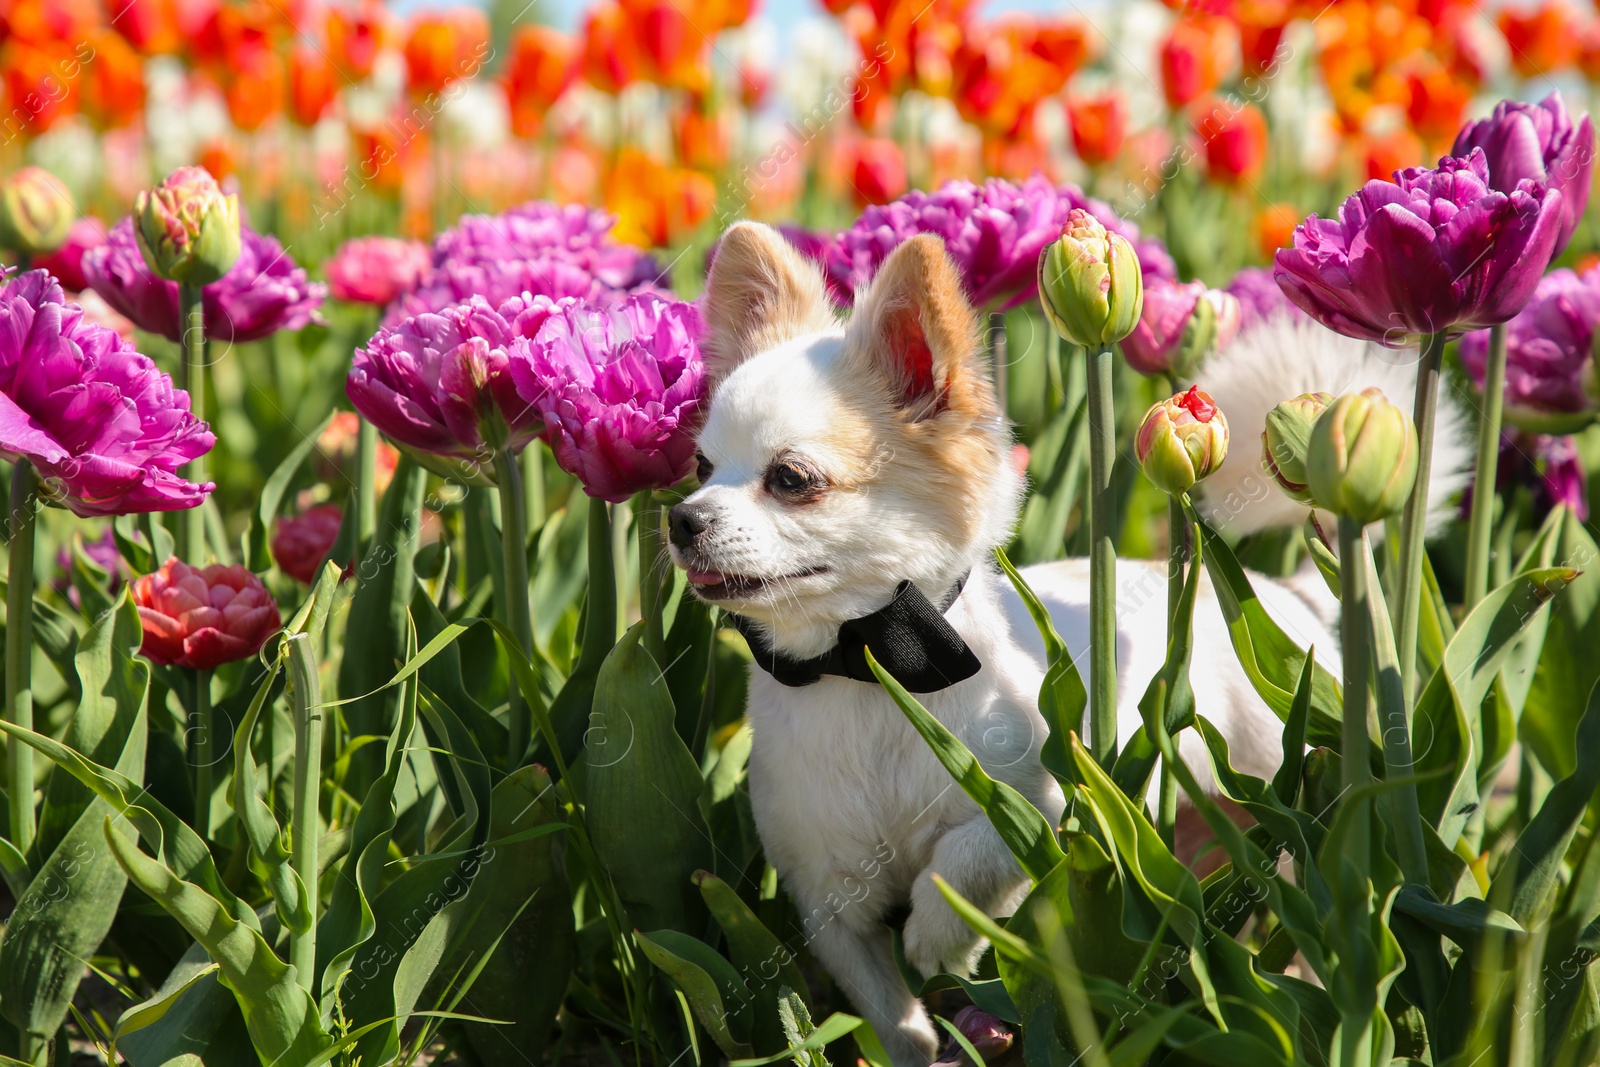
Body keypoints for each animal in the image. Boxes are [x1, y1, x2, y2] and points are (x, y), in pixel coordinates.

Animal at [668, 220, 1465, 1062]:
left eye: (791, 480)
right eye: (700, 466)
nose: (681, 518)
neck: (866, 664)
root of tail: (1288, 591)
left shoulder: (1061, 796)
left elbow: (968, 857)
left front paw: (939, 935)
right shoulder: (829, 904)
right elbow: (893, 1016)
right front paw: (924, 1031)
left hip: (1293, 794)